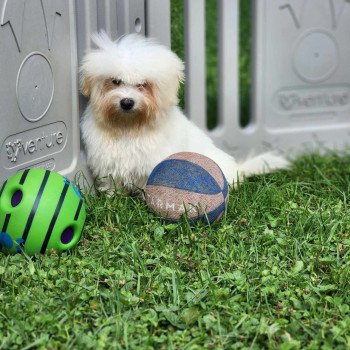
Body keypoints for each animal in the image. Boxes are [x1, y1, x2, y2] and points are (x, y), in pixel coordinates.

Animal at [80, 32, 288, 191]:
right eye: (115, 81)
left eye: (143, 85)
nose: (126, 102)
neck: (129, 127)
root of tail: (238, 169)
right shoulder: (108, 164)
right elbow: (111, 184)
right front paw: (112, 198)